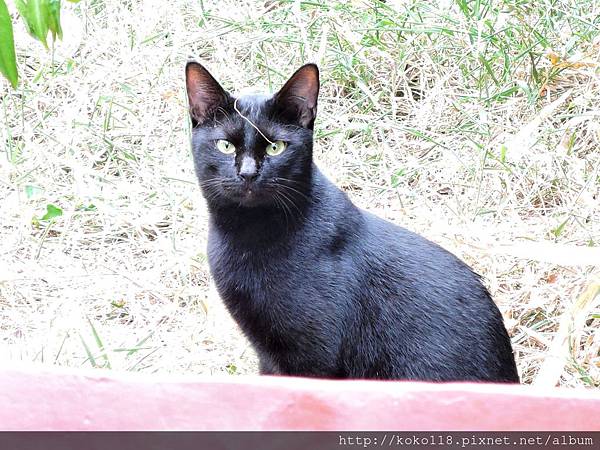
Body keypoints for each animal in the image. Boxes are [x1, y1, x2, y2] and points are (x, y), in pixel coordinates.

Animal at [185, 61, 516, 382]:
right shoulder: (269, 356)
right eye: (225, 146)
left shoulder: (312, 356)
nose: (248, 173)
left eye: (275, 147)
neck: (247, 234)